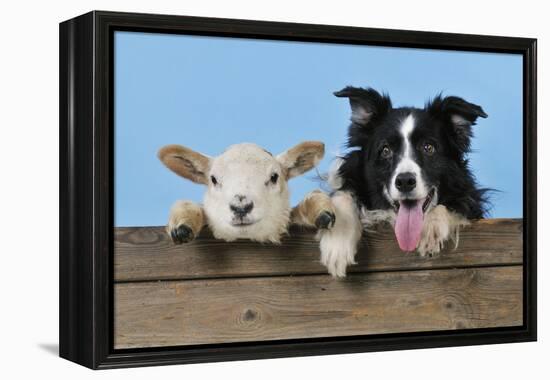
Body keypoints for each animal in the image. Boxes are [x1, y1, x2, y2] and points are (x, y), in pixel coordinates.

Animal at [320, 86, 492, 276]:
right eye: (385, 150)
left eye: (428, 147)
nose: (404, 182)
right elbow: (344, 194)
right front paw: (337, 247)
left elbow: (453, 205)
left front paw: (430, 230)